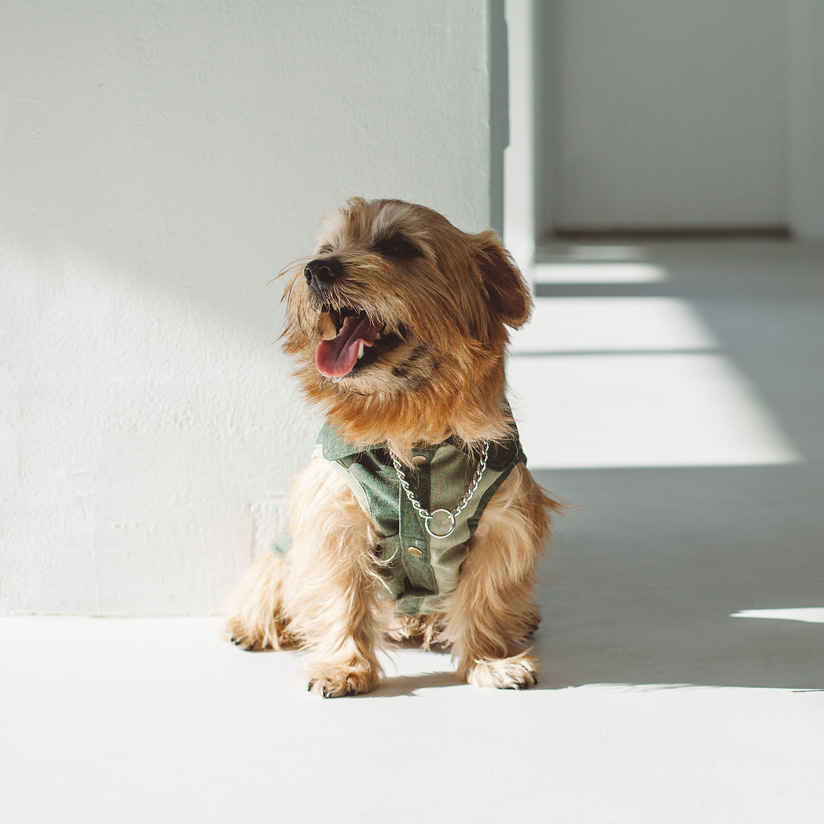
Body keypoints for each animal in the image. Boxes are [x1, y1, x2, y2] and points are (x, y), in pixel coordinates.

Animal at [225, 198, 560, 696]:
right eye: (326, 248)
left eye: (399, 247)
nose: (316, 269)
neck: (410, 425)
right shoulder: (336, 523)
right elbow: (341, 597)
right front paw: (343, 667)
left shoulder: (503, 525)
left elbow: (485, 596)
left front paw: (489, 661)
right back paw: (252, 627)